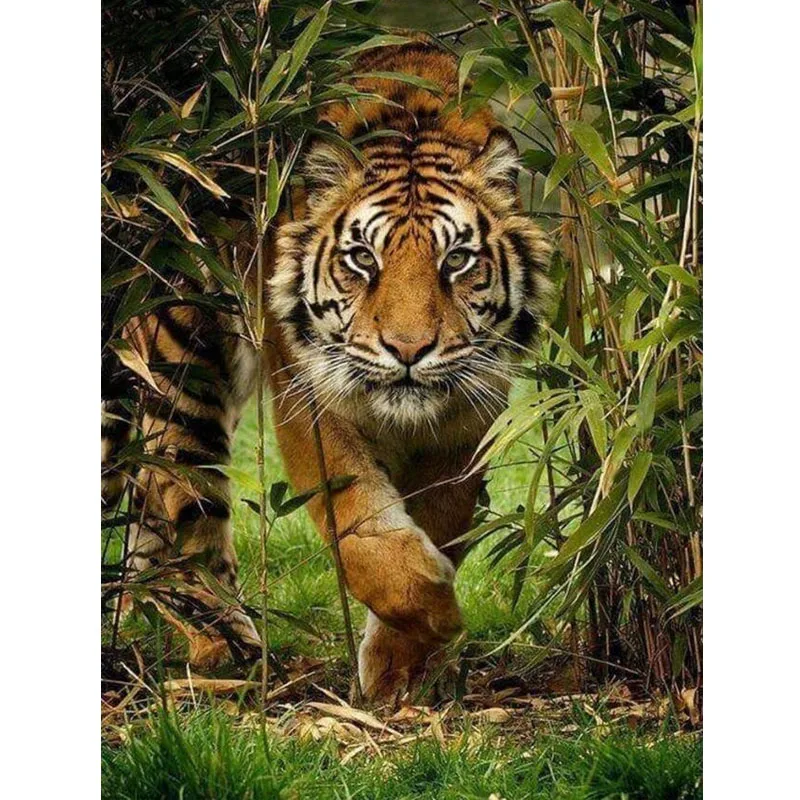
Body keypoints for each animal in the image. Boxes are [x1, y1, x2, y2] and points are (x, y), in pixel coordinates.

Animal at [102, 39, 551, 705]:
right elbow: (359, 524)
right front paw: (437, 614)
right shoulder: (309, 398)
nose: (408, 350)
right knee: (182, 499)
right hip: (181, 359)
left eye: (457, 260)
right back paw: (227, 651)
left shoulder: (469, 416)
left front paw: (402, 668)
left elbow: (441, 518)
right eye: (362, 258)